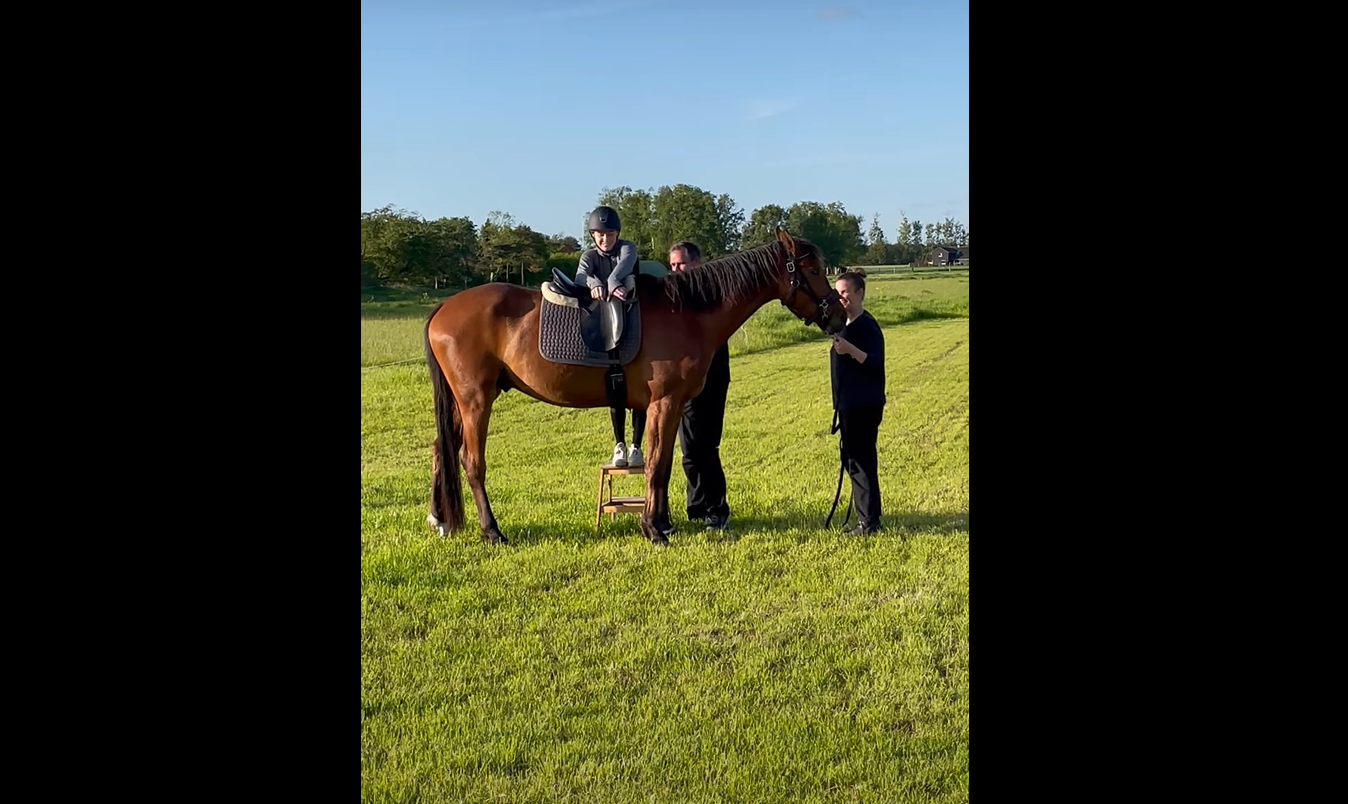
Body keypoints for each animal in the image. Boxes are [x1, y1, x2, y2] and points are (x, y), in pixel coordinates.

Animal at [422, 228, 848, 547]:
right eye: (812, 269)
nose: (839, 316)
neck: (687, 311)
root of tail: (443, 308)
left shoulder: (668, 406)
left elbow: (665, 464)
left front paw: (659, 522)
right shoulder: (665, 402)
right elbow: (657, 465)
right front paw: (653, 529)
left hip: (464, 402)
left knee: (441, 451)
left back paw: (441, 519)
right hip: (476, 402)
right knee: (471, 462)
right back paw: (492, 531)